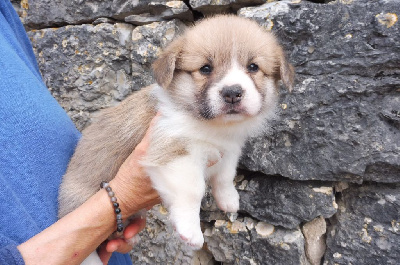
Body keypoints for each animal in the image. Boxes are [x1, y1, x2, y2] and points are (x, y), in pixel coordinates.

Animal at [57, 14, 294, 264]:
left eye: (253, 67)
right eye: (205, 68)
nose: (232, 93)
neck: (214, 127)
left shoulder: (229, 150)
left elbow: (225, 177)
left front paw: (229, 199)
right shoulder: (175, 151)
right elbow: (193, 189)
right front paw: (190, 231)